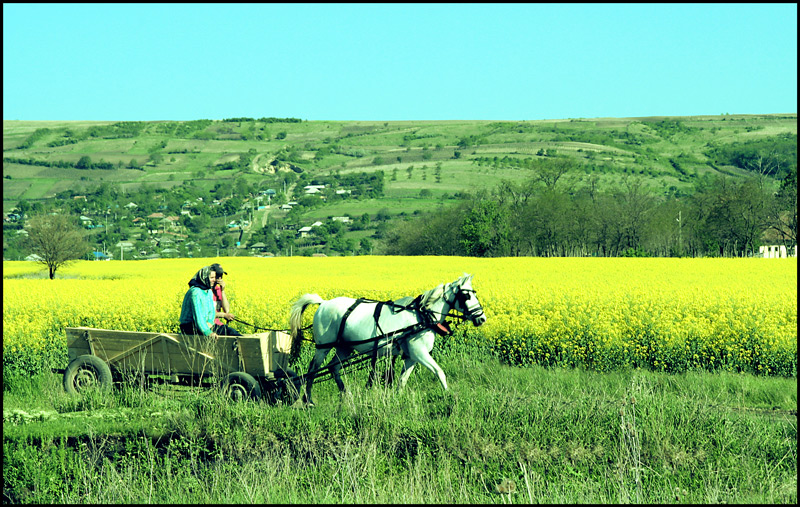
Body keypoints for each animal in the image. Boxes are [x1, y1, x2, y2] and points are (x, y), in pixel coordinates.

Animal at [290, 276, 484, 406]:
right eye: (466, 296)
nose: (481, 318)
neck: (422, 317)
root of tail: (323, 303)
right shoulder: (419, 353)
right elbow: (439, 372)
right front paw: (450, 396)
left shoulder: (411, 356)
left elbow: (402, 380)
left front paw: (397, 399)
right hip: (323, 347)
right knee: (312, 370)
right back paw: (309, 400)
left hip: (344, 347)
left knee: (334, 367)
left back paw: (346, 394)